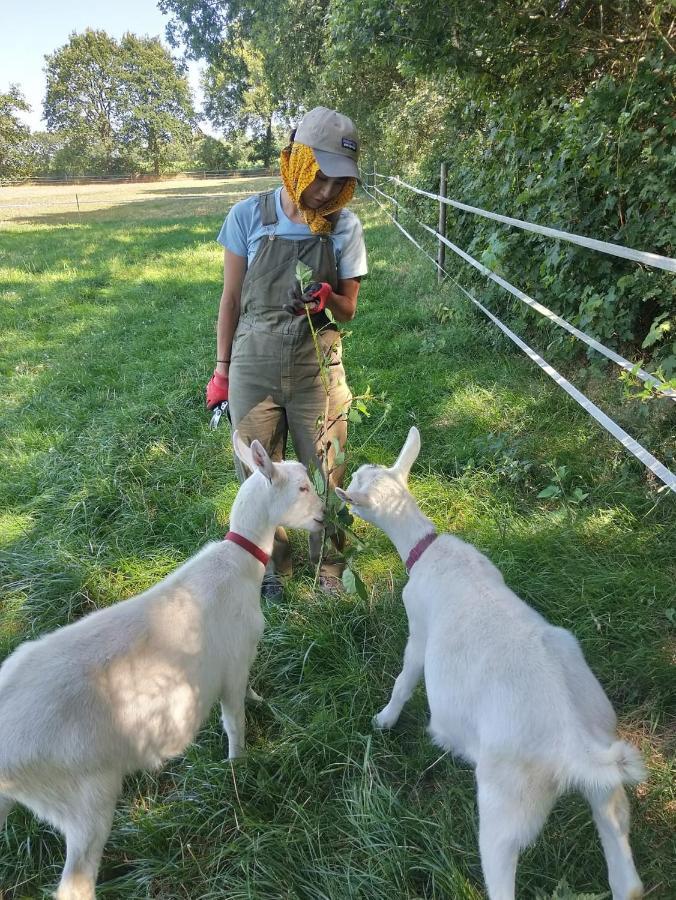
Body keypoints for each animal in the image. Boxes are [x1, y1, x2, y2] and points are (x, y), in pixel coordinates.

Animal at [0, 430, 324, 900]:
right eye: (301, 487)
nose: (323, 516)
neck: (239, 566)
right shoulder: (230, 664)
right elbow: (235, 722)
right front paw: (238, 766)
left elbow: (248, 695)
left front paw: (259, 702)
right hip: (82, 795)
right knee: (75, 882)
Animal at [336, 428, 644, 900]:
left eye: (357, 481)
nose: (344, 485)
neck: (427, 548)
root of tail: (572, 743)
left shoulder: (419, 629)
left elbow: (405, 678)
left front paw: (384, 719)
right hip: (605, 777)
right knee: (626, 872)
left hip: (506, 805)